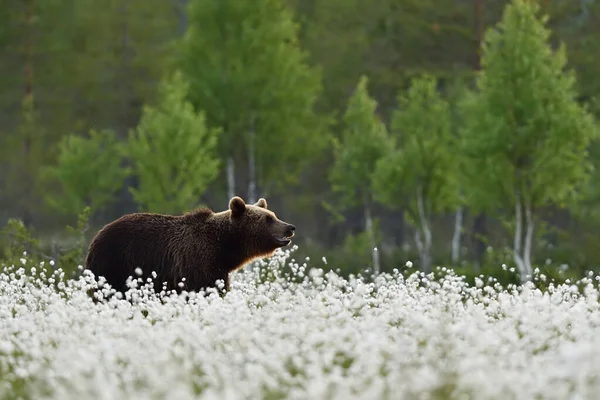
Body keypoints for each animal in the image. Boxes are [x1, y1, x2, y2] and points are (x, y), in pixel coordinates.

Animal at [84, 195, 296, 298]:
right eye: (268, 219)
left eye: (273, 214)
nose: (290, 227)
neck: (224, 247)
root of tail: (96, 238)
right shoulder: (197, 261)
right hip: (115, 264)